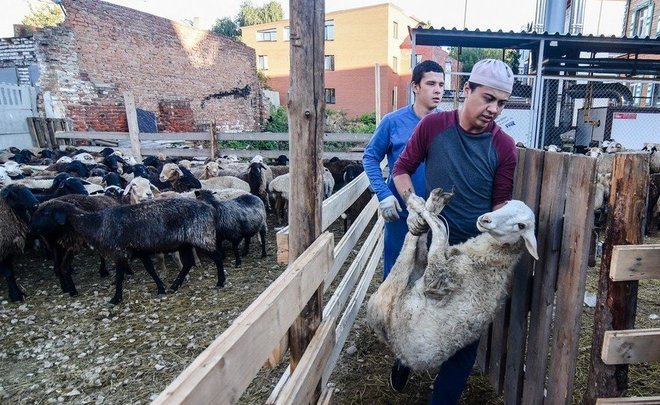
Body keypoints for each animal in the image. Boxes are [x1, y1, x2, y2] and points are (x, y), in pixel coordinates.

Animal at [368, 189, 540, 370]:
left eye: (521, 226)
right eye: (506, 203)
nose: (485, 220)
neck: (491, 259)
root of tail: (394, 346)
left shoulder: (438, 277)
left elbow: (439, 231)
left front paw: (426, 210)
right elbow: (438, 236)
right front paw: (427, 208)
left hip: (387, 297)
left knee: (409, 248)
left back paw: (423, 205)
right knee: (419, 244)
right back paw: (427, 205)